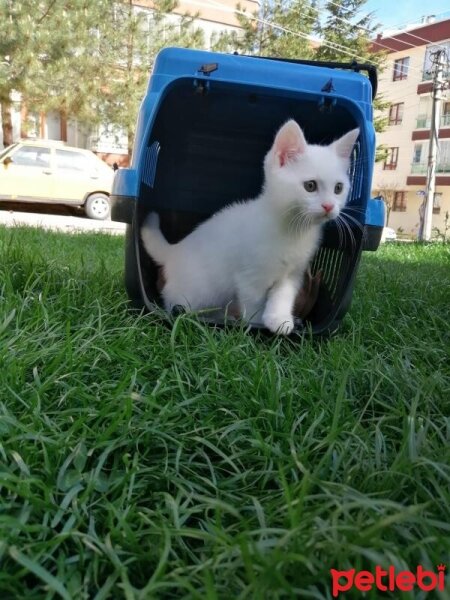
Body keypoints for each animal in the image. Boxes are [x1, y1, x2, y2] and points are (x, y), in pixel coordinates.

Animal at [141, 119, 358, 336]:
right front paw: (257, 324)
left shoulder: (292, 274)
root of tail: (174, 251)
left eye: (338, 188)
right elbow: (254, 303)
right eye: (310, 186)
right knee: (179, 306)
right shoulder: (249, 277)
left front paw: (279, 319)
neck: (292, 231)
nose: (329, 206)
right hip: (197, 292)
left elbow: (282, 295)